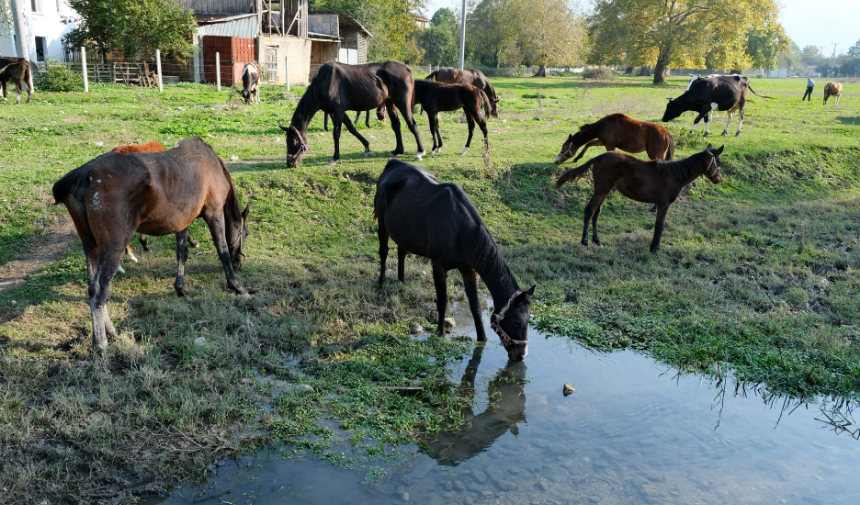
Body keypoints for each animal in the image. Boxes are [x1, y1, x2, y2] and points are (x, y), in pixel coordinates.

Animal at [53, 138, 250, 350]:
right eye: (245, 233)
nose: (240, 263)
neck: (213, 165)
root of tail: (85, 175)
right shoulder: (214, 212)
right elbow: (222, 251)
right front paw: (236, 286)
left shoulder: (183, 222)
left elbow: (182, 253)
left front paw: (181, 290)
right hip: (112, 247)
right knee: (99, 290)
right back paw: (101, 343)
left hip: (91, 245)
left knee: (91, 287)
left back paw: (111, 332)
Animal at [280, 60, 424, 167]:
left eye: (293, 142)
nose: (290, 164)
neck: (324, 83)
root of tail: (405, 68)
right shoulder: (336, 112)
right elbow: (352, 128)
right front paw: (367, 148)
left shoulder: (338, 110)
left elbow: (336, 134)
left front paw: (334, 158)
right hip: (390, 103)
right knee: (396, 125)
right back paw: (397, 151)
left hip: (402, 102)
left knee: (413, 124)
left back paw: (420, 152)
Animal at [374, 159, 536, 360]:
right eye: (517, 322)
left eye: (528, 321)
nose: (521, 355)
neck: (460, 229)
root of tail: (395, 163)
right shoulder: (438, 266)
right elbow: (442, 300)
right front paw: (440, 332)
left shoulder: (469, 269)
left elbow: (475, 305)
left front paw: (481, 337)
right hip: (382, 224)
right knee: (383, 251)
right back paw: (381, 281)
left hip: (403, 230)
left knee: (402, 252)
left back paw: (401, 280)